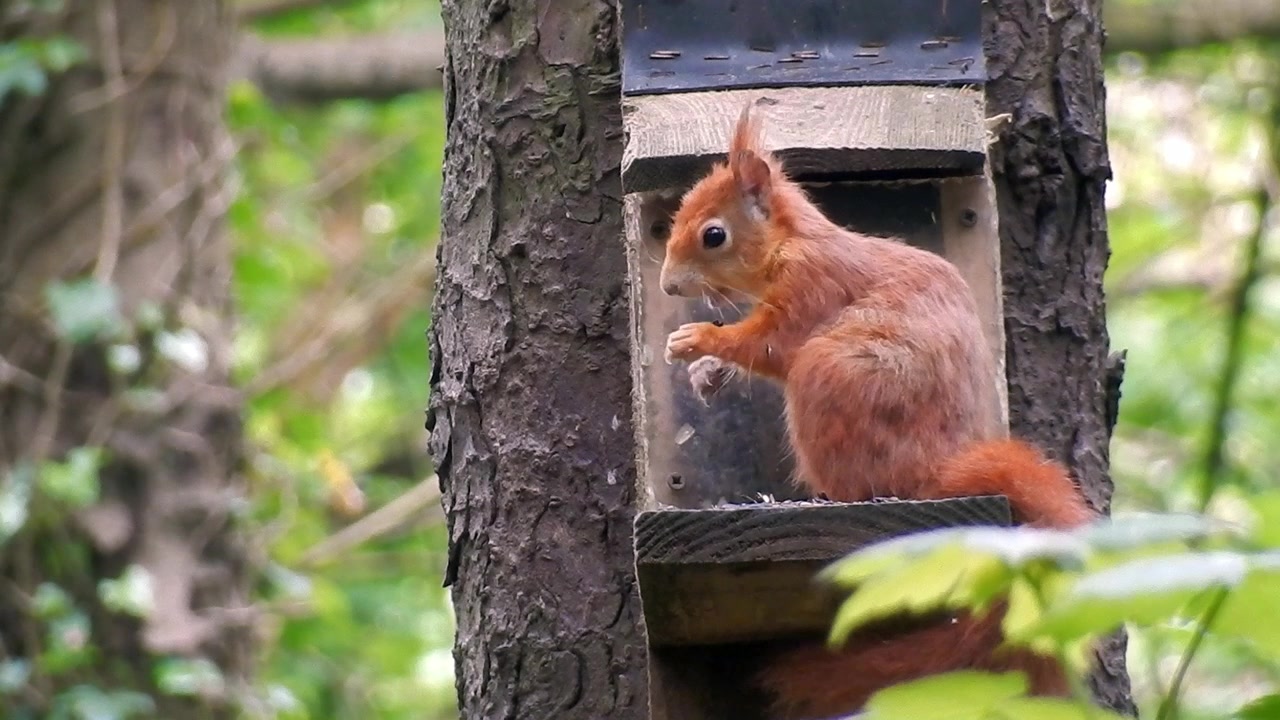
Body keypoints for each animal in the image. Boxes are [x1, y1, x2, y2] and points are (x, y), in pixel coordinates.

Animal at [658, 101, 1099, 720]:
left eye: (713, 234)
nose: (667, 285)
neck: (790, 245)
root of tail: (938, 475)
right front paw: (706, 373)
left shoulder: (813, 287)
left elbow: (771, 346)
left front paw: (699, 340)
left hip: (831, 375)